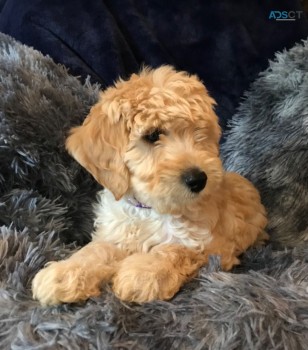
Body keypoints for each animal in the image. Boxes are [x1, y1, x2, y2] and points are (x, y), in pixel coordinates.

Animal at [31, 66, 268, 306]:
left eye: (200, 134)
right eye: (152, 135)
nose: (198, 179)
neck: (149, 209)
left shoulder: (214, 246)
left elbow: (177, 250)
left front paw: (141, 273)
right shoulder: (116, 234)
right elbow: (97, 250)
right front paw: (64, 273)